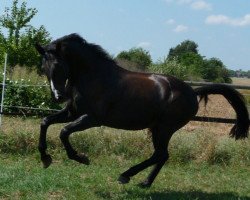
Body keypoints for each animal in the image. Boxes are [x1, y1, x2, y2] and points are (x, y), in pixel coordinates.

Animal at [35, 33, 248, 188]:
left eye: (59, 65)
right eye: (44, 67)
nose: (58, 96)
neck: (94, 77)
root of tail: (192, 92)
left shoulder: (92, 118)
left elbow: (64, 132)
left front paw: (81, 158)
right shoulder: (72, 113)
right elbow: (45, 122)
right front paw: (45, 158)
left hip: (164, 128)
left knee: (160, 154)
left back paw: (126, 176)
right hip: (157, 128)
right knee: (162, 155)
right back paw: (144, 182)